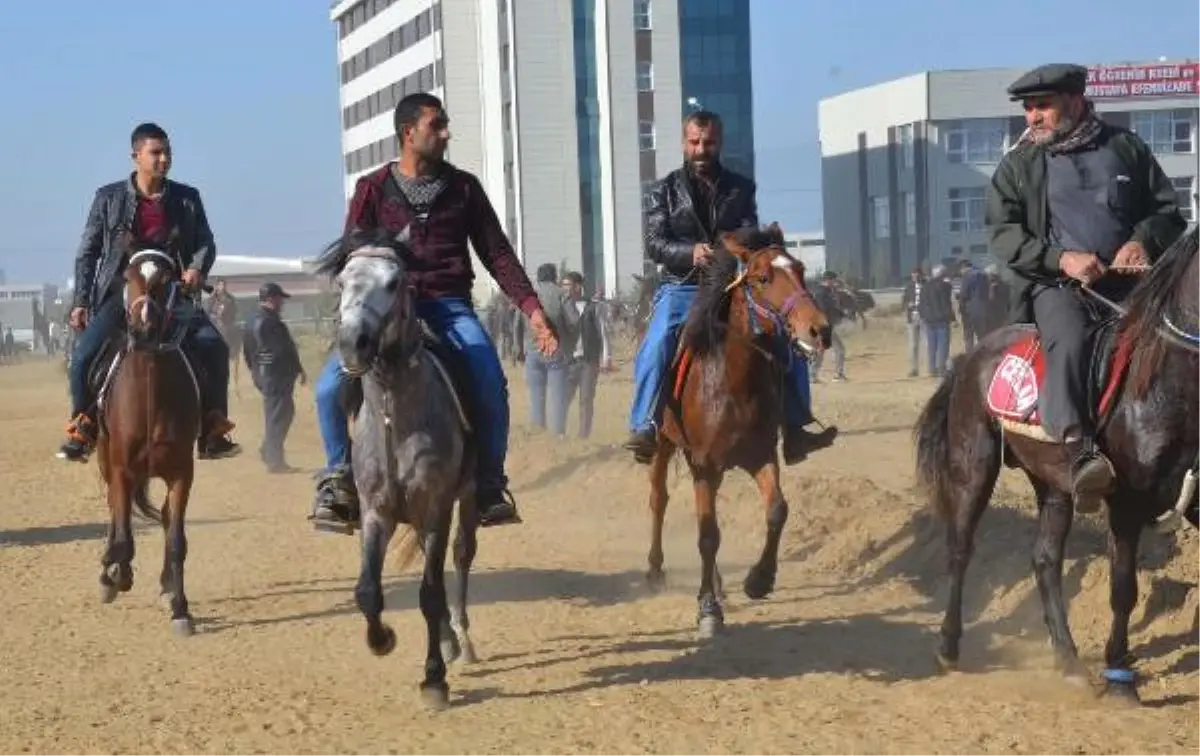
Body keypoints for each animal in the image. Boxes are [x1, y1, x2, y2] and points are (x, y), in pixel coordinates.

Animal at [95, 246, 201, 638]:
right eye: (128, 277)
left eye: (167, 279)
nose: (143, 329)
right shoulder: (122, 469)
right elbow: (124, 535)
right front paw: (116, 575)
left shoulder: (181, 473)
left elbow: (176, 541)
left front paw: (180, 608)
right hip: (104, 459)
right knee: (115, 513)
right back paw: (109, 573)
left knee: (165, 520)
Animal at [643, 225, 830, 638]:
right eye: (762, 278)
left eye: (800, 269)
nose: (819, 329)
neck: (732, 381)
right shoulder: (704, 466)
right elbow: (707, 535)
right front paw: (707, 609)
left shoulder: (761, 456)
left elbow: (777, 510)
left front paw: (759, 580)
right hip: (664, 445)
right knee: (659, 500)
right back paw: (655, 570)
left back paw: (719, 585)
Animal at [912, 229, 1200, 705]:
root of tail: (971, 357)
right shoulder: (1127, 503)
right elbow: (1123, 588)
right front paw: (1119, 674)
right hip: (974, 466)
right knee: (960, 550)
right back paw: (948, 647)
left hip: (1054, 485)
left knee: (1045, 561)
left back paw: (1067, 659)